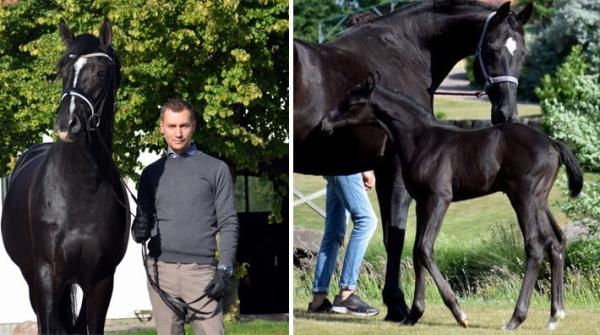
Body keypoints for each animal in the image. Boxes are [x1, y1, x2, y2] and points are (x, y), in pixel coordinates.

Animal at [0, 20, 127, 334]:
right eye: (62, 71)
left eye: (101, 73)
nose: (66, 124)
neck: (79, 189)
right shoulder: (47, 276)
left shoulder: (102, 280)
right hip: (32, 277)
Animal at [292, 0, 532, 320]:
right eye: (491, 49)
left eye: (522, 52)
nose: (506, 113)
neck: (404, 52)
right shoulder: (394, 170)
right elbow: (396, 237)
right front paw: (398, 305)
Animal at [326, 74, 584, 330]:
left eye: (352, 102)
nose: (324, 123)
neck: (422, 140)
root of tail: (552, 144)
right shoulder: (422, 203)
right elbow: (416, 252)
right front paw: (414, 315)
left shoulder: (439, 199)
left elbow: (424, 248)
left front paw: (459, 313)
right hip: (539, 201)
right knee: (556, 241)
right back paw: (555, 315)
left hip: (524, 198)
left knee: (535, 245)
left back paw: (515, 319)